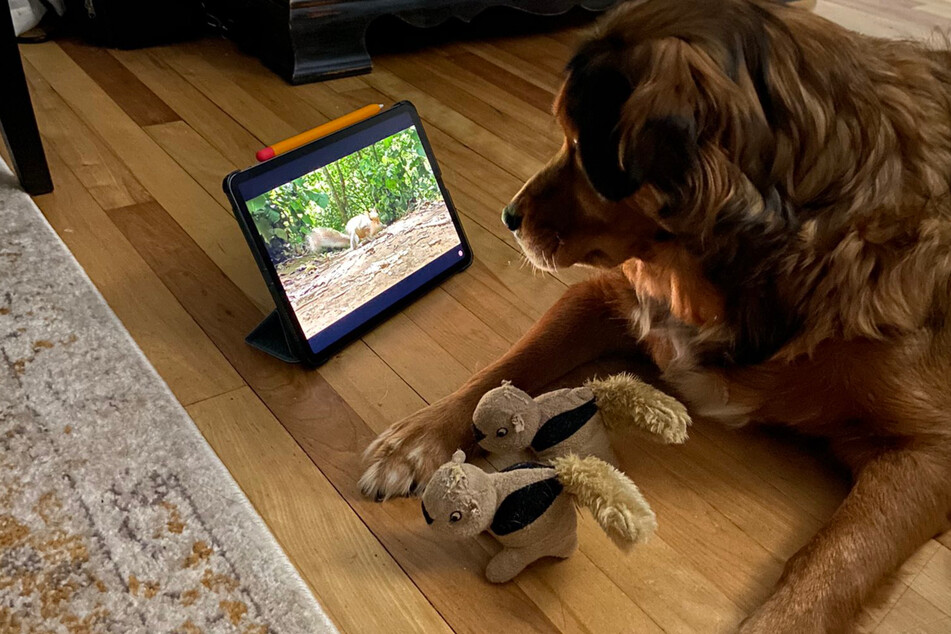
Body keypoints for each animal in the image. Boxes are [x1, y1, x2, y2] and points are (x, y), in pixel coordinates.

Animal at [360, 1, 951, 628]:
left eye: (580, 143)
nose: (508, 217)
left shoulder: (928, 451)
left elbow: (836, 561)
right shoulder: (606, 296)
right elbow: (504, 368)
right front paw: (414, 442)